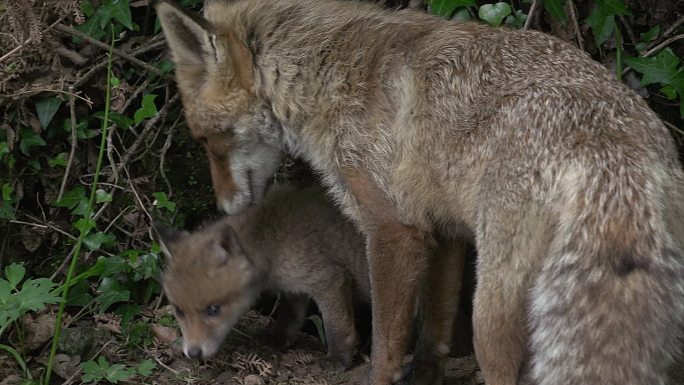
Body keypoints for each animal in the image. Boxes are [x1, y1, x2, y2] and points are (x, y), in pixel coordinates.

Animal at [155, 1, 684, 382]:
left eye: (207, 140)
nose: (224, 208)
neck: (332, 79)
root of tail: (611, 145)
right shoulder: (445, 230)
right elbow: (433, 331)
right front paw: (427, 375)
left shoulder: (394, 229)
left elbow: (386, 345)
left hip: (493, 309)